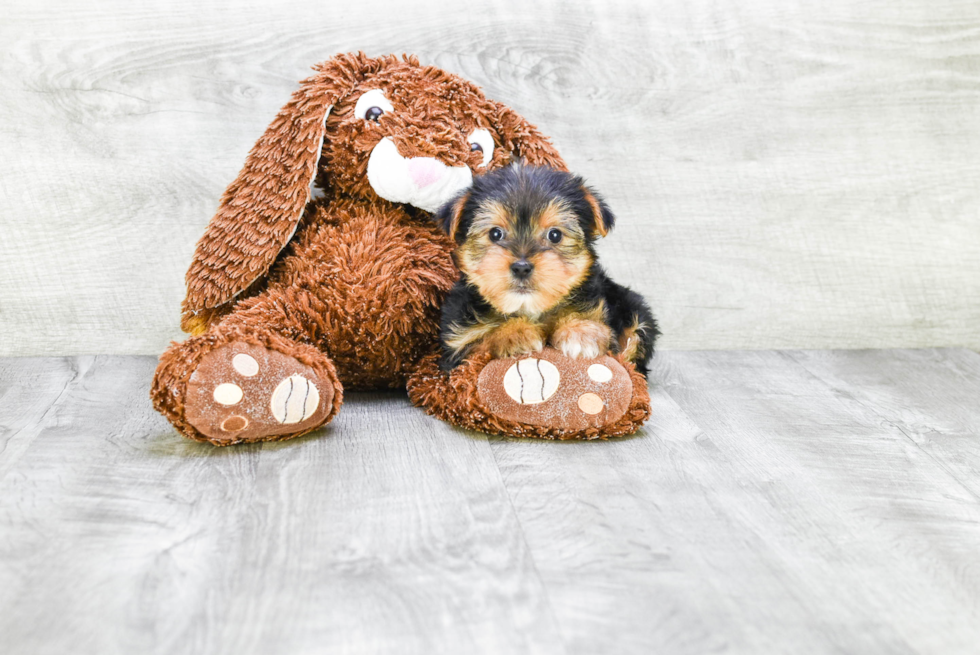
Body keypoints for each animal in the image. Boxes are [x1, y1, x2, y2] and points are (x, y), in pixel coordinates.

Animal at [436, 165, 660, 374]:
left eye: (555, 235)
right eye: (495, 233)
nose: (521, 268)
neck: (529, 308)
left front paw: (581, 331)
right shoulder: (457, 345)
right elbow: (478, 345)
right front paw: (513, 334)